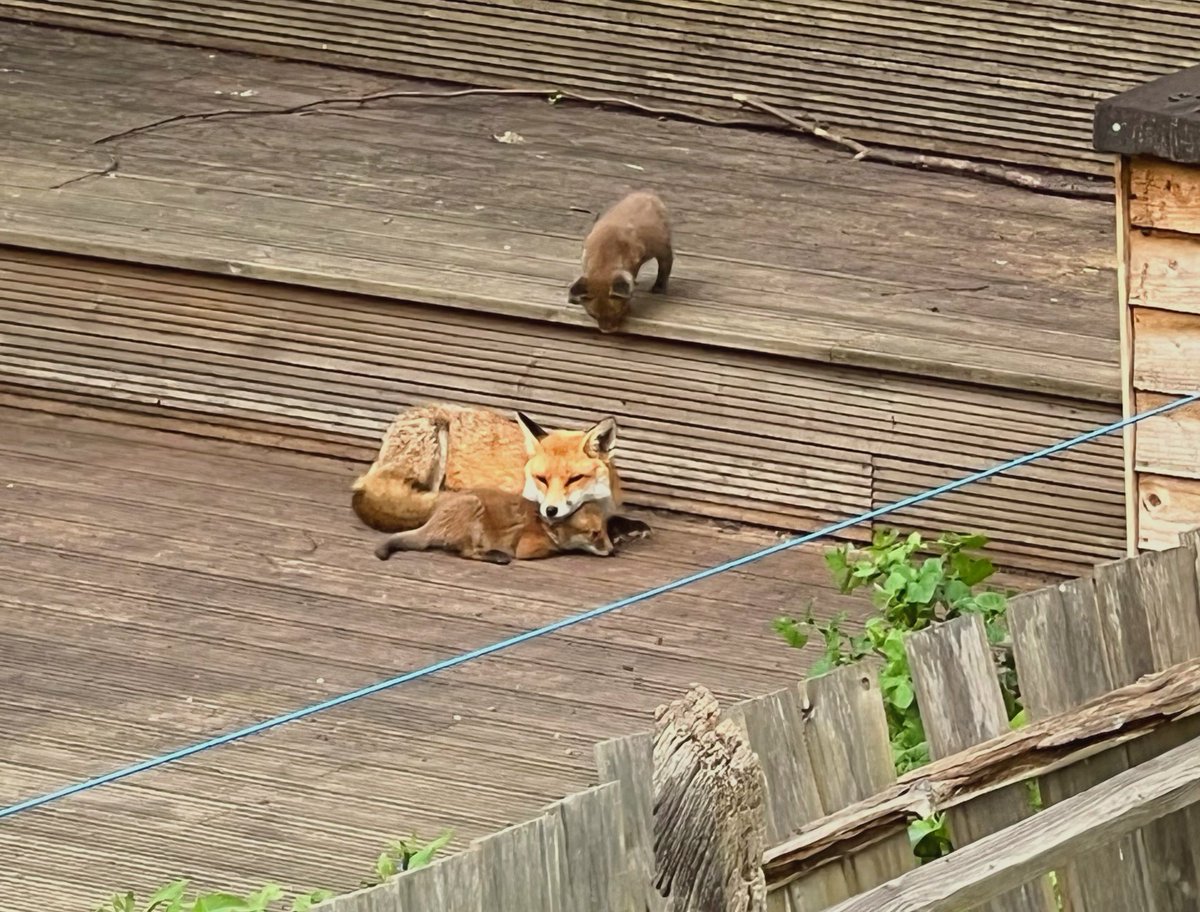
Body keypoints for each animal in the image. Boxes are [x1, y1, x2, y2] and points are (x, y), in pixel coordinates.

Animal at [374, 489, 614, 564]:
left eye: (605, 529)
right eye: (594, 533)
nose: (613, 551)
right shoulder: (527, 548)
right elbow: (558, 549)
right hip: (473, 507)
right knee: (467, 553)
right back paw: (497, 556)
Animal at [568, 190, 673, 334]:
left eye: (617, 313)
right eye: (593, 315)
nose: (606, 331)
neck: (605, 254)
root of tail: (646, 193)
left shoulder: (633, 263)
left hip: (661, 248)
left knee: (666, 265)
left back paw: (659, 287)